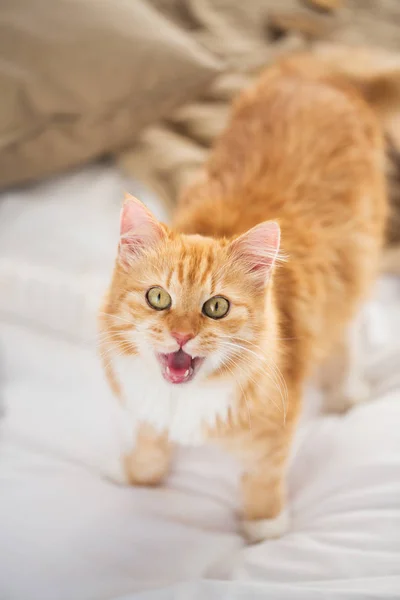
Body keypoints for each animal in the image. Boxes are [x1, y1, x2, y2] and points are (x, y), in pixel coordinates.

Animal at [99, 57, 388, 544]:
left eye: (216, 307)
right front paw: (141, 473)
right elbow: (150, 439)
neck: (183, 400)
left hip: (357, 258)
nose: (180, 335)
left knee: (346, 329)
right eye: (158, 298)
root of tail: (321, 72)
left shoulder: (274, 432)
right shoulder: (146, 406)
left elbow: (263, 477)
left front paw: (264, 527)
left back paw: (345, 391)